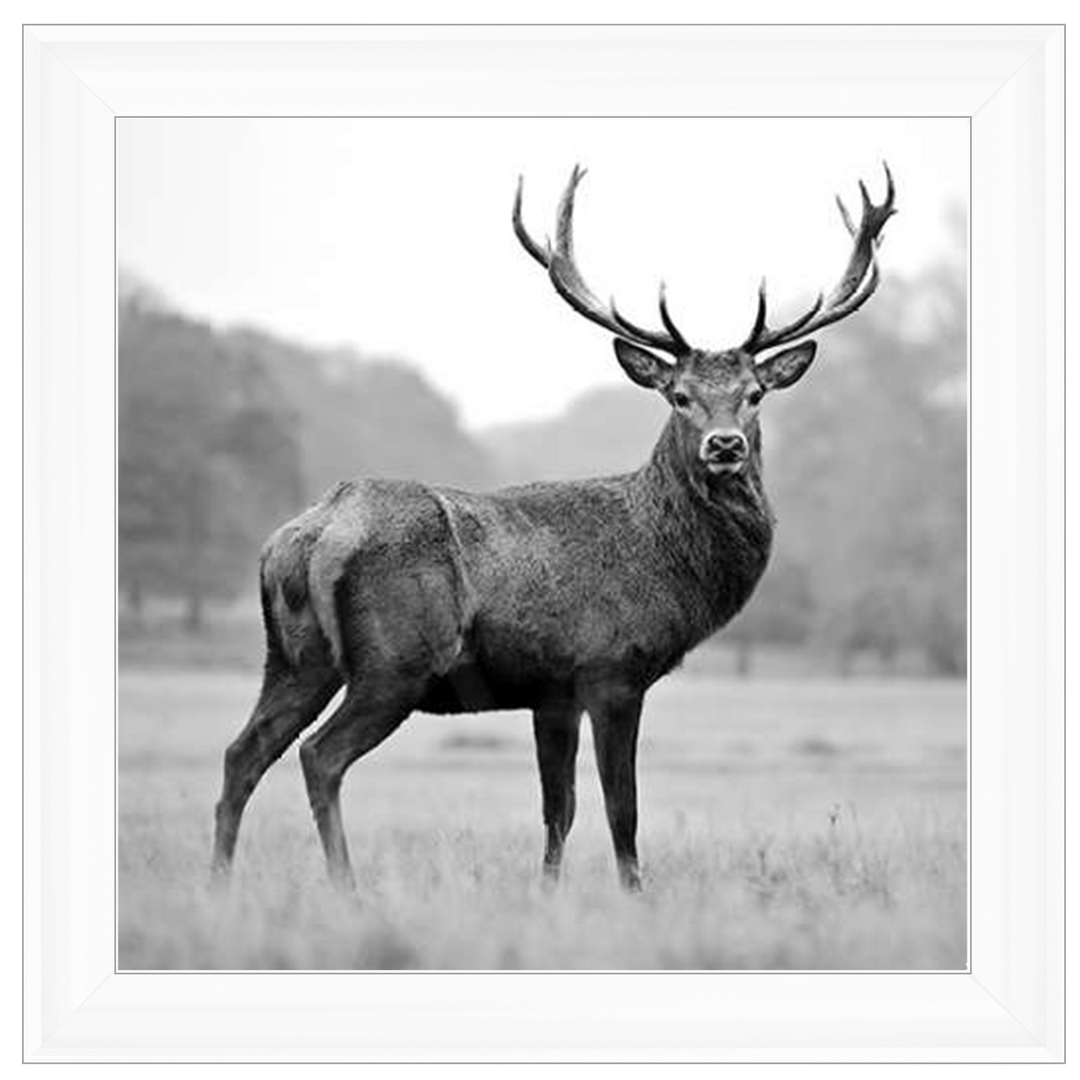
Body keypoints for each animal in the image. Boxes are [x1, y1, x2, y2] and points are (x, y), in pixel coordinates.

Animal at [211, 164, 896, 892]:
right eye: (678, 395)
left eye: (755, 394)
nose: (725, 445)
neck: (667, 563)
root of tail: (311, 533)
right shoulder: (612, 669)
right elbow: (622, 807)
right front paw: (634, 894)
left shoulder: (552, 692)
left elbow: (557, 809)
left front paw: (548, 892)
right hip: (395, 661)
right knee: (319, 755)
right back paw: (346, 887)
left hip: (294, 656)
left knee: (242, 752)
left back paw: (219, 880)